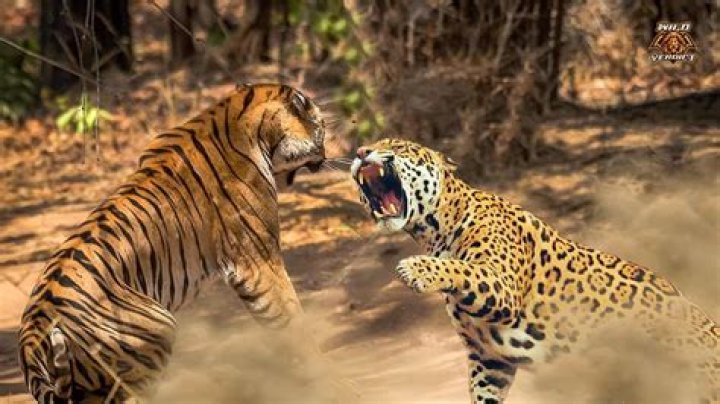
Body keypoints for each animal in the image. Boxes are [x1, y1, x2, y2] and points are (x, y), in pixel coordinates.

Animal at [18, 83, 326, 403]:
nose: (327, 153)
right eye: (322, 127)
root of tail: (32, 334)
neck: (238, 113)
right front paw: (319, 371)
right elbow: (291, 316)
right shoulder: (257, 261)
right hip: (157, 330)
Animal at [350, 138, 719, 404]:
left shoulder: (501, 284)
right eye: (368, 146)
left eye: (397, 146)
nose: (360, 152)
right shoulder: (489, 360)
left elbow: (463, 268)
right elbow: (484, 393)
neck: (436, 230)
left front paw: (416, 269)